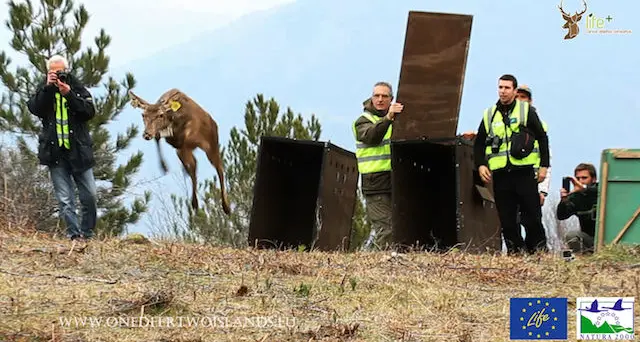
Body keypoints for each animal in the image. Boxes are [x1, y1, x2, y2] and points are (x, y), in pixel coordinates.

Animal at [127, 88, 230, 216]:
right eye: (143, 115)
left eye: (160, 115)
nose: (147, 134)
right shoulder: (176, 142)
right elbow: (158, 138)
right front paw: (164, 166)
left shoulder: (187, 140)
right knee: (195, 165)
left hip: (212, 145)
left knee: (218, 167)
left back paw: (224, 206)